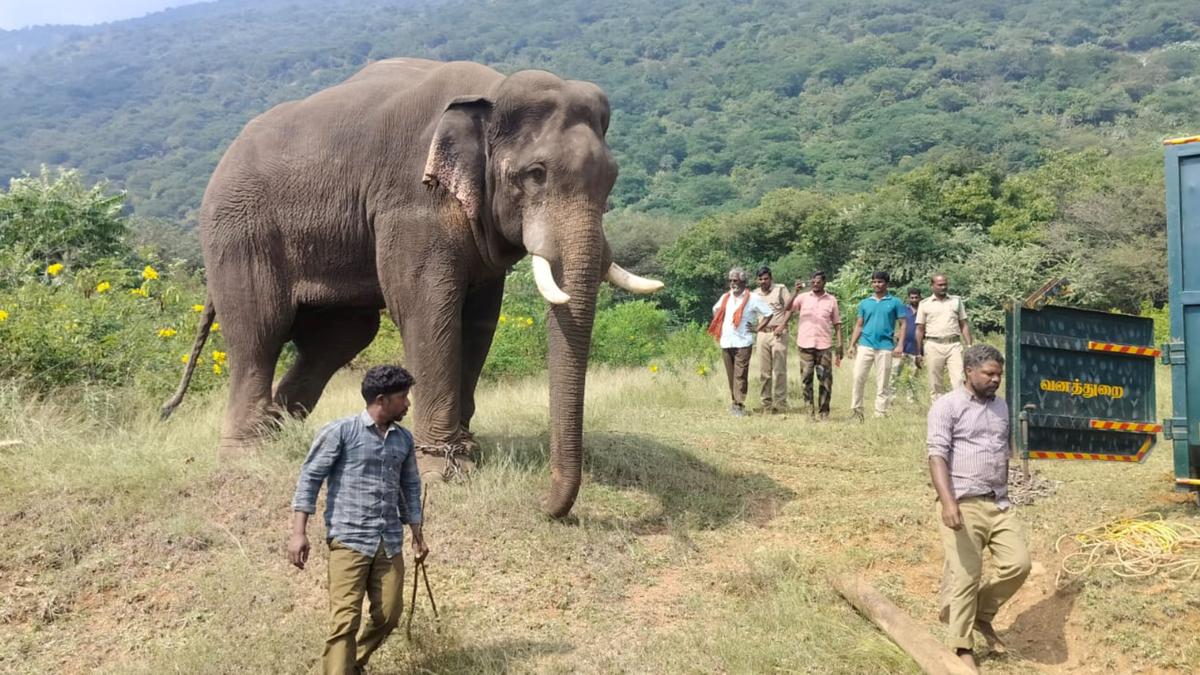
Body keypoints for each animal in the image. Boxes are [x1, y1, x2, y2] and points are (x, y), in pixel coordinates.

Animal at [161, 58, 662, 517]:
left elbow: (478, 320)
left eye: (612, 178)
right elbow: (427, 308)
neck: (492, 92)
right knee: (259, 333)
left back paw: (284, 434)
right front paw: (442, 471)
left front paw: (466, 454)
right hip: (238, 233)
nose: (544, 506)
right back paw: (246, 454)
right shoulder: (412, 202)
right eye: (535, 173)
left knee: (337, 339)